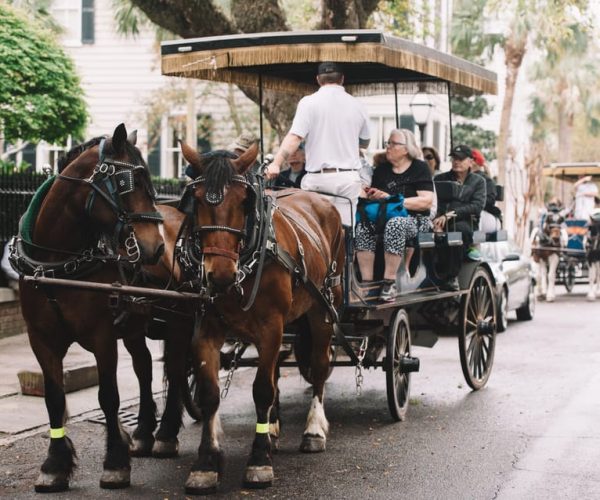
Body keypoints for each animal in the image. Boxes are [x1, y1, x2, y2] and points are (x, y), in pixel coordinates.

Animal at [13, 124, 164, 492]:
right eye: (128, 183)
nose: (156, 247)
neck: (55, 261)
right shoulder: (41, 338)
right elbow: (54, 398)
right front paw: (54, 465)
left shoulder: (102, 335)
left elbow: (108, 396)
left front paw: (115, 462)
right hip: (134, 324)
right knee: (144, 366)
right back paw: (143, 433)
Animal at [178, 143, 344, 494]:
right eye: (196, 199)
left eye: (244, 200)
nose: (220, 275)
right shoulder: (205, 330)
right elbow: (210, 393)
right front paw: (205, 464)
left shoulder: (271, 328)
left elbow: (262, 390)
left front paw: (259, 460)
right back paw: (273, 429)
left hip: (323, 309)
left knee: (319, 368)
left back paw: (313, 430)